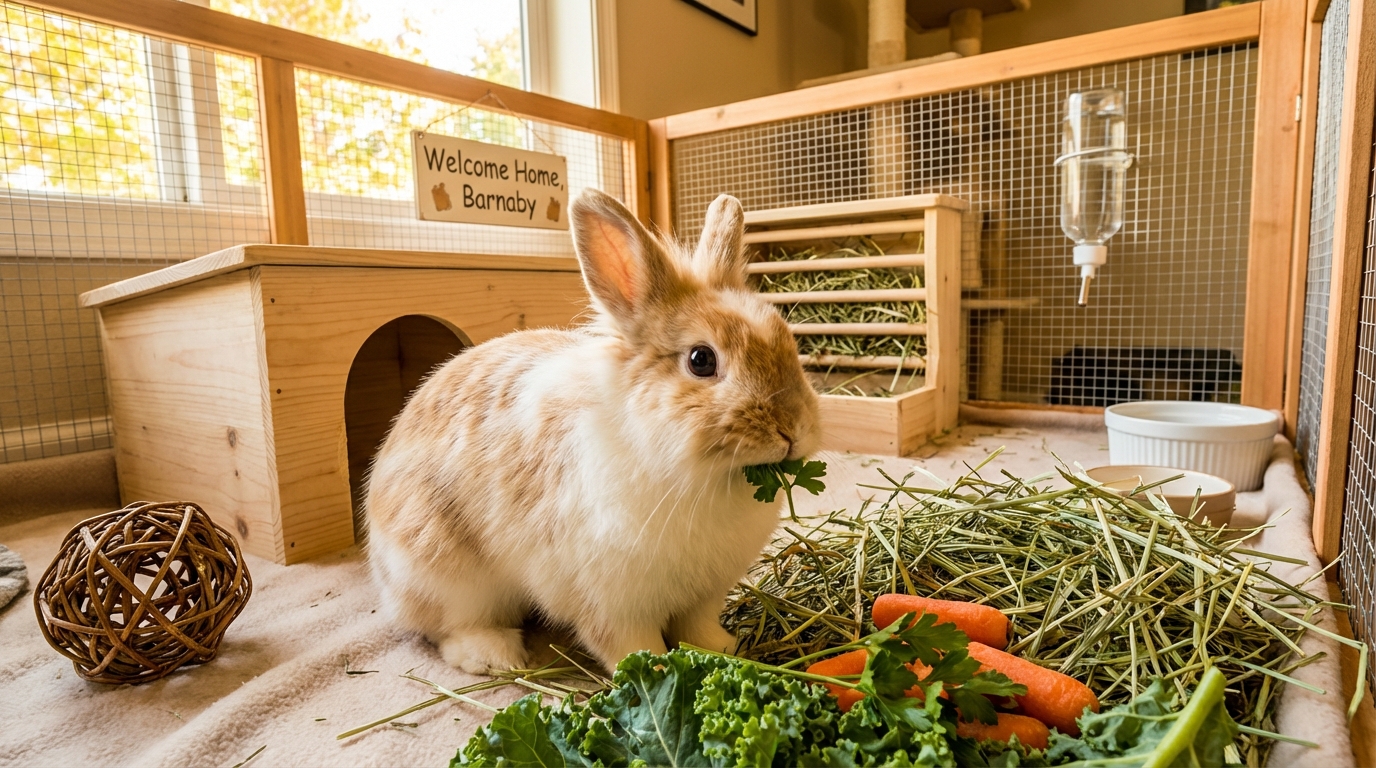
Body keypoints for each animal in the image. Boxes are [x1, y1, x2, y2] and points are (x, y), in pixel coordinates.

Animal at [364, 188, 821, 674]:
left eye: (787, 339)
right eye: (701, 360)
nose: (794, 430)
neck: (701, 477)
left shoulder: (703, 595)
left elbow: (698, 629)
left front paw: (725, 649)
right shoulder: (610, 603)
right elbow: (630, 644)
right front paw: (656, 671)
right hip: (446, 574)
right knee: (447, 627)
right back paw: (495, 656)